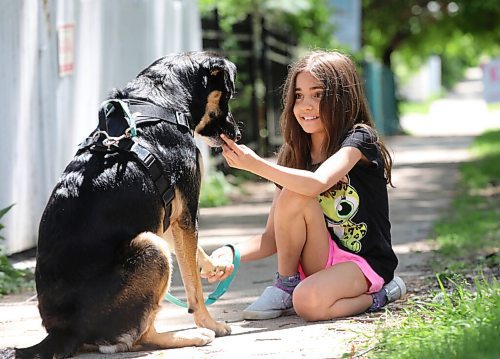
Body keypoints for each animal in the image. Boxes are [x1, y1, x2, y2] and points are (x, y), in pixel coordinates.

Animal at [14, 51, 241, 359]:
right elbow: (193, 285)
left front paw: (213, 266)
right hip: (151, 246)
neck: (159, 102)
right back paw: (192, 335)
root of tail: (62, 333)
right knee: (141, 335)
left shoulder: (170, 212)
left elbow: (193, 255)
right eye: (228, 94)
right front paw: (210, 322)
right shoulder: (185, 213)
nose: (237, 134)